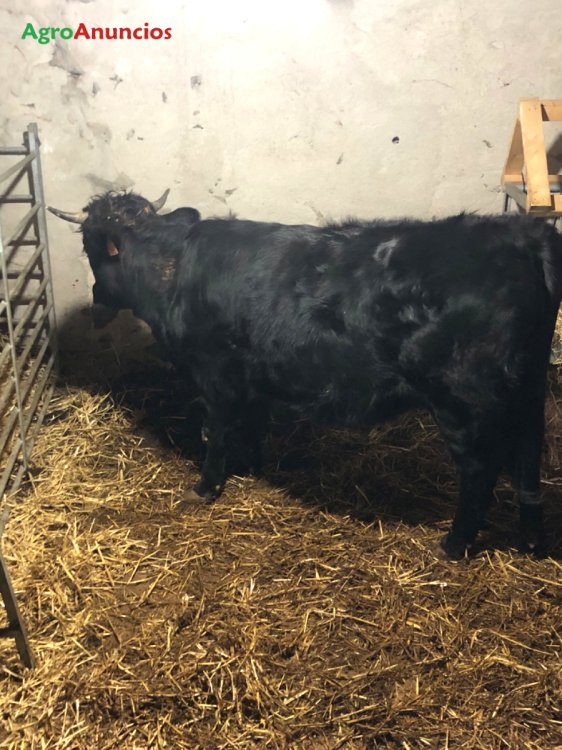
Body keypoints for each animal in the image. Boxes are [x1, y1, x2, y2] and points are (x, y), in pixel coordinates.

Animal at [48, 190, 562, 559]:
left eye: (91, 249)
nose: (95, 309)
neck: (169, 269)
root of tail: (517, 234)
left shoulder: (216, 373)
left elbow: (218, 432)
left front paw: (206, 487)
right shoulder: (251, 374)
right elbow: (250, 425)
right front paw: (250, 466)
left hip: (461, 399)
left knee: (481, 468)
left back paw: (453, 545)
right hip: (527, 388)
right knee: (527, 459)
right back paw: (532, 541)